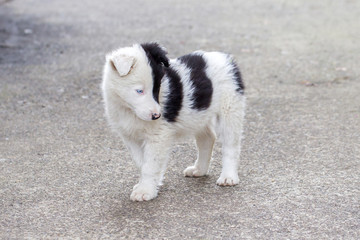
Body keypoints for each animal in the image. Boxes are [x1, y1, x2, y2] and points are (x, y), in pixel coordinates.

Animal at [102, 42, 246, 201]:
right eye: (139, 91)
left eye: (157, 88)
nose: (156, 116)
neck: (128, 109)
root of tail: (224, 57)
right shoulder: (130, 137)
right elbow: (142, 162)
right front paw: (152, 183)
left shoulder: (158, 136)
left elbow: (149, 165)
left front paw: (145, 190)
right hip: (199, 115)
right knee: (208, 138)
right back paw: (199, 169)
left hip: (230, 108)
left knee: (230, 146)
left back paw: (228, 177)